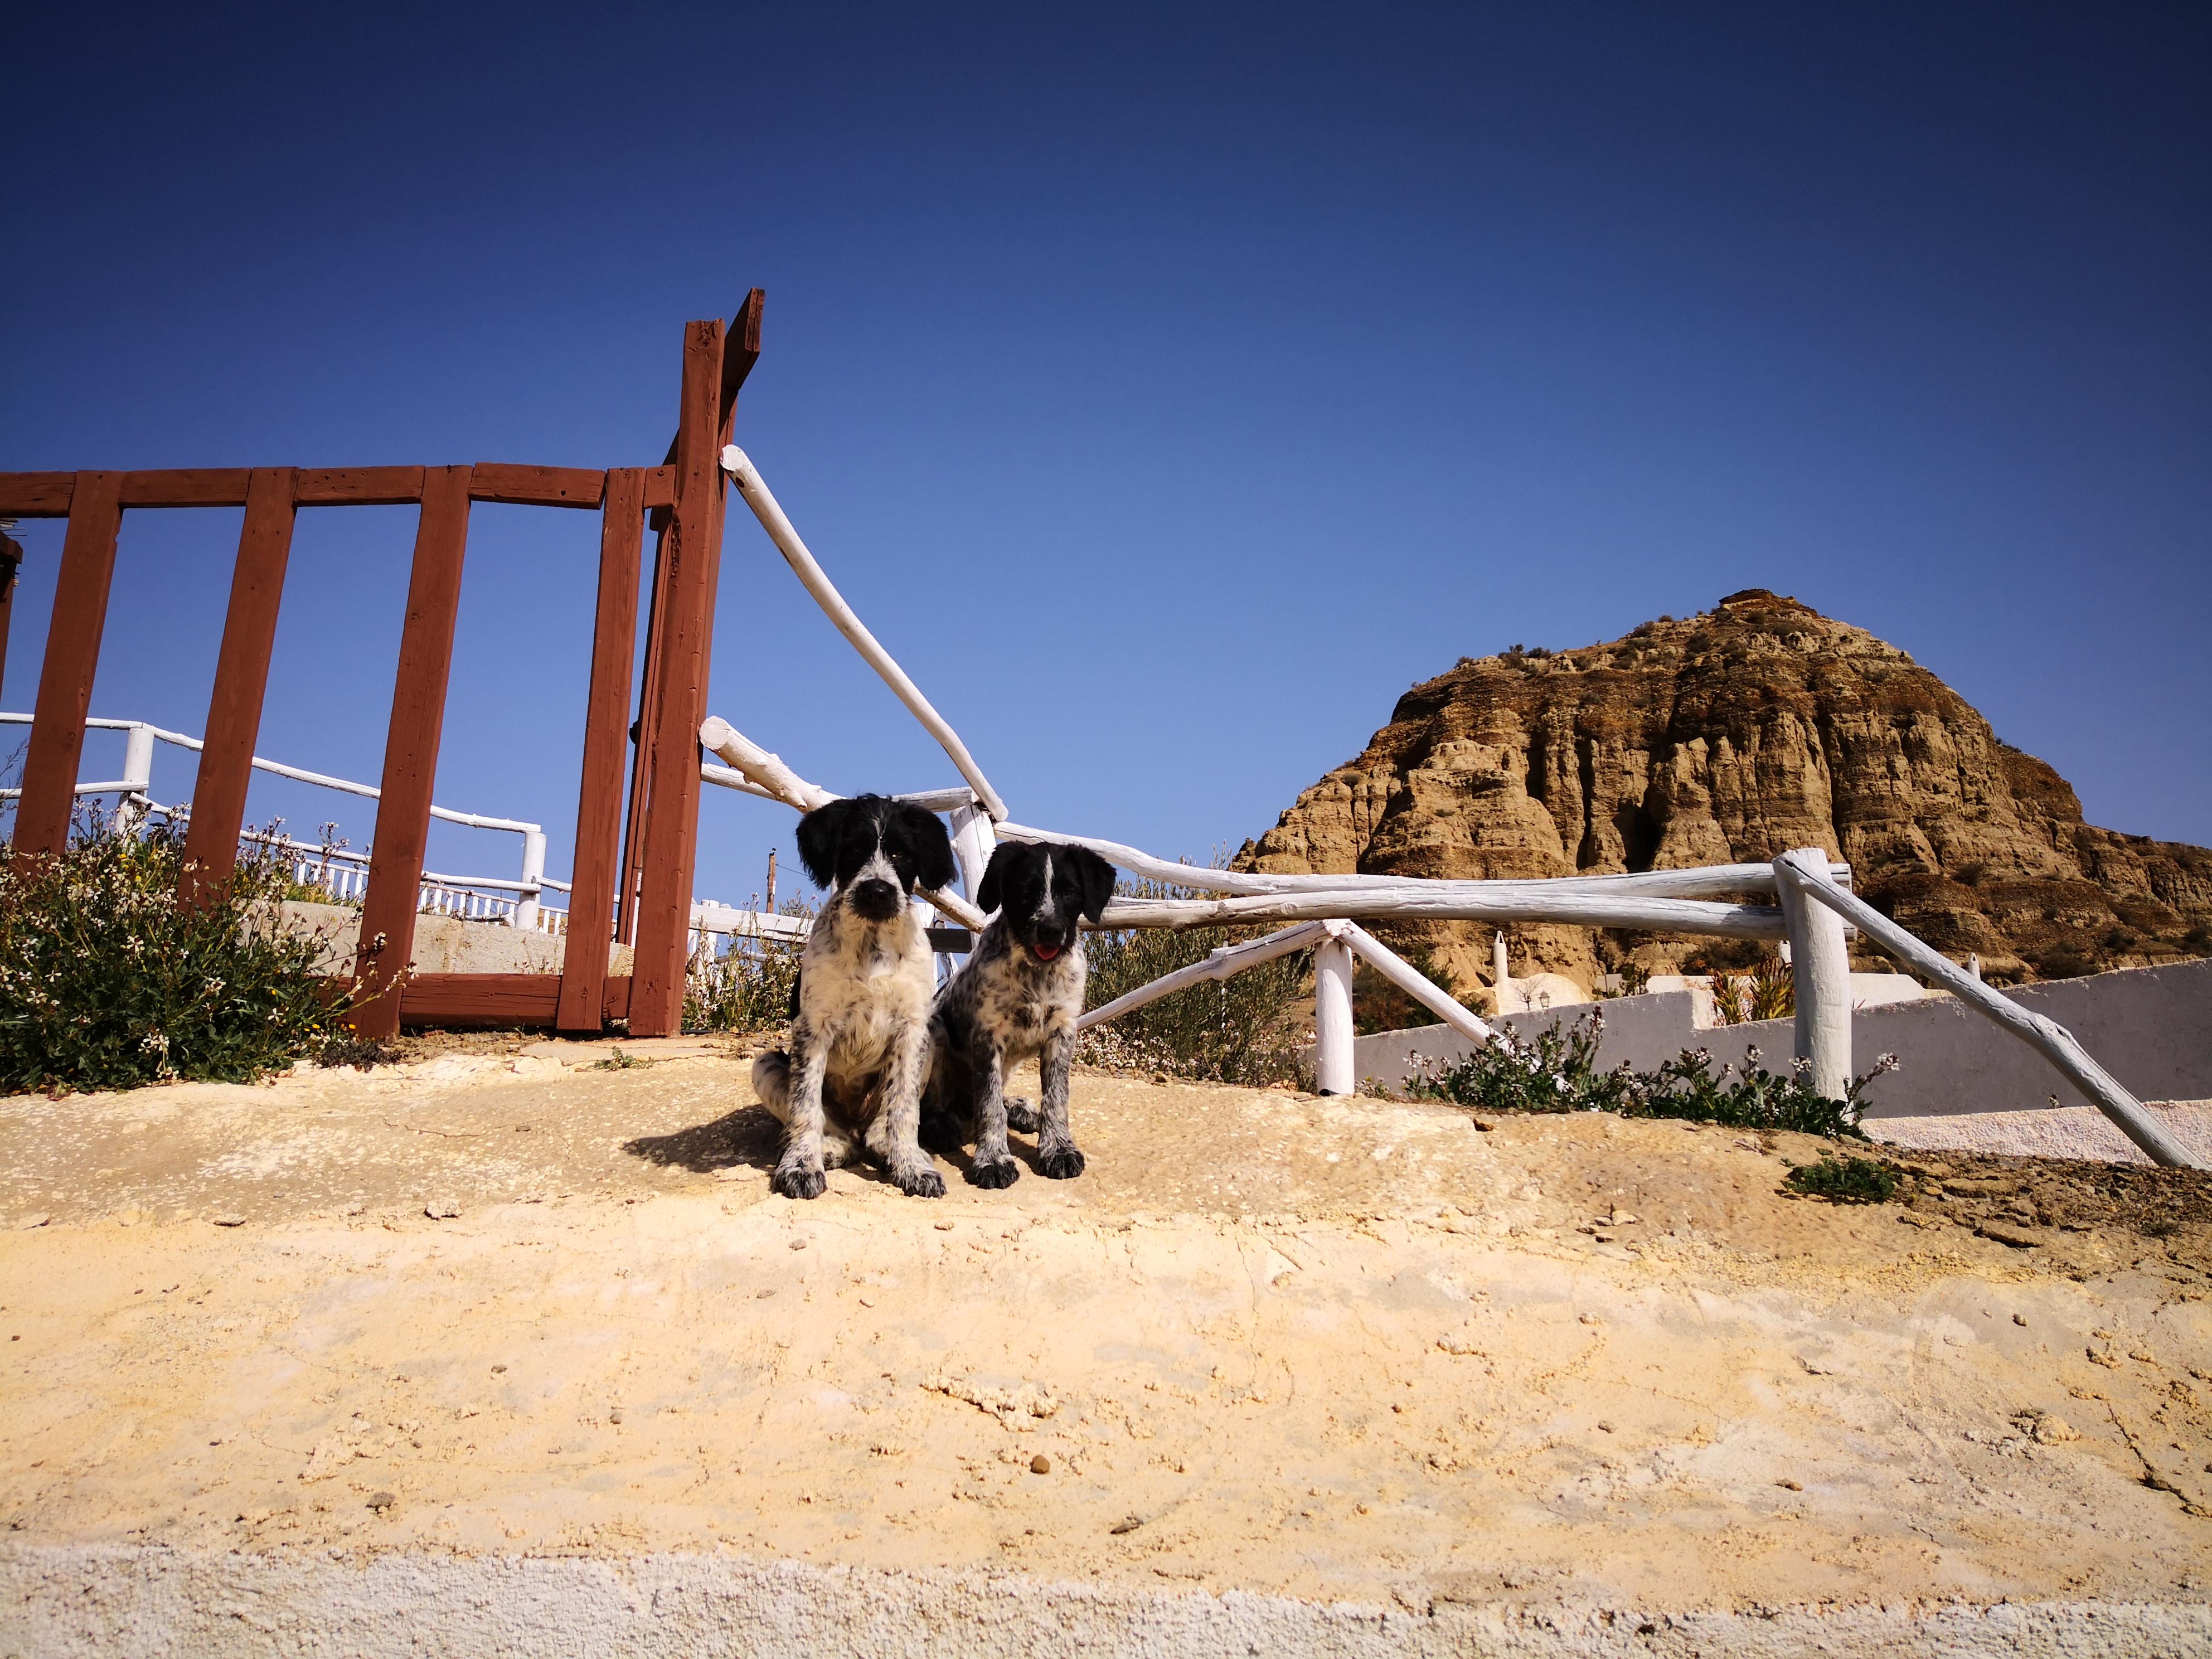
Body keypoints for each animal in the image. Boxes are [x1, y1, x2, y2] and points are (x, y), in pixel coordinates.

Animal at [756, 801, 955, 1203]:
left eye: (901, 853)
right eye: (853, 849)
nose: (877, 892)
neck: (872, 942)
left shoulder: (913, 1029)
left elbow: (904, 1110)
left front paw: (911, 1166)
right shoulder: (812, 1029)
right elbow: (805, 1107)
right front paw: (801, 1166)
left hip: (932, 1038)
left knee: (882, 1125)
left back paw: (889, 1148)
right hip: (765, 1064)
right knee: (833, 1129)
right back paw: (830, 1148)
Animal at [920, 849, 1114, 1185]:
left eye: (1070, 892)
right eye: (1025, 890)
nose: (1051, 930)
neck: (1037, 974)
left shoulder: (1062, 1031)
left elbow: (1056, 1099)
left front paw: (1058, 1149)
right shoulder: (988, 1036)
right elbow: (989, 1106)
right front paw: (993, 1160)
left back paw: (1020, 1109)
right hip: (935, 1031)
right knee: (941, 1102)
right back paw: (942, 1123)